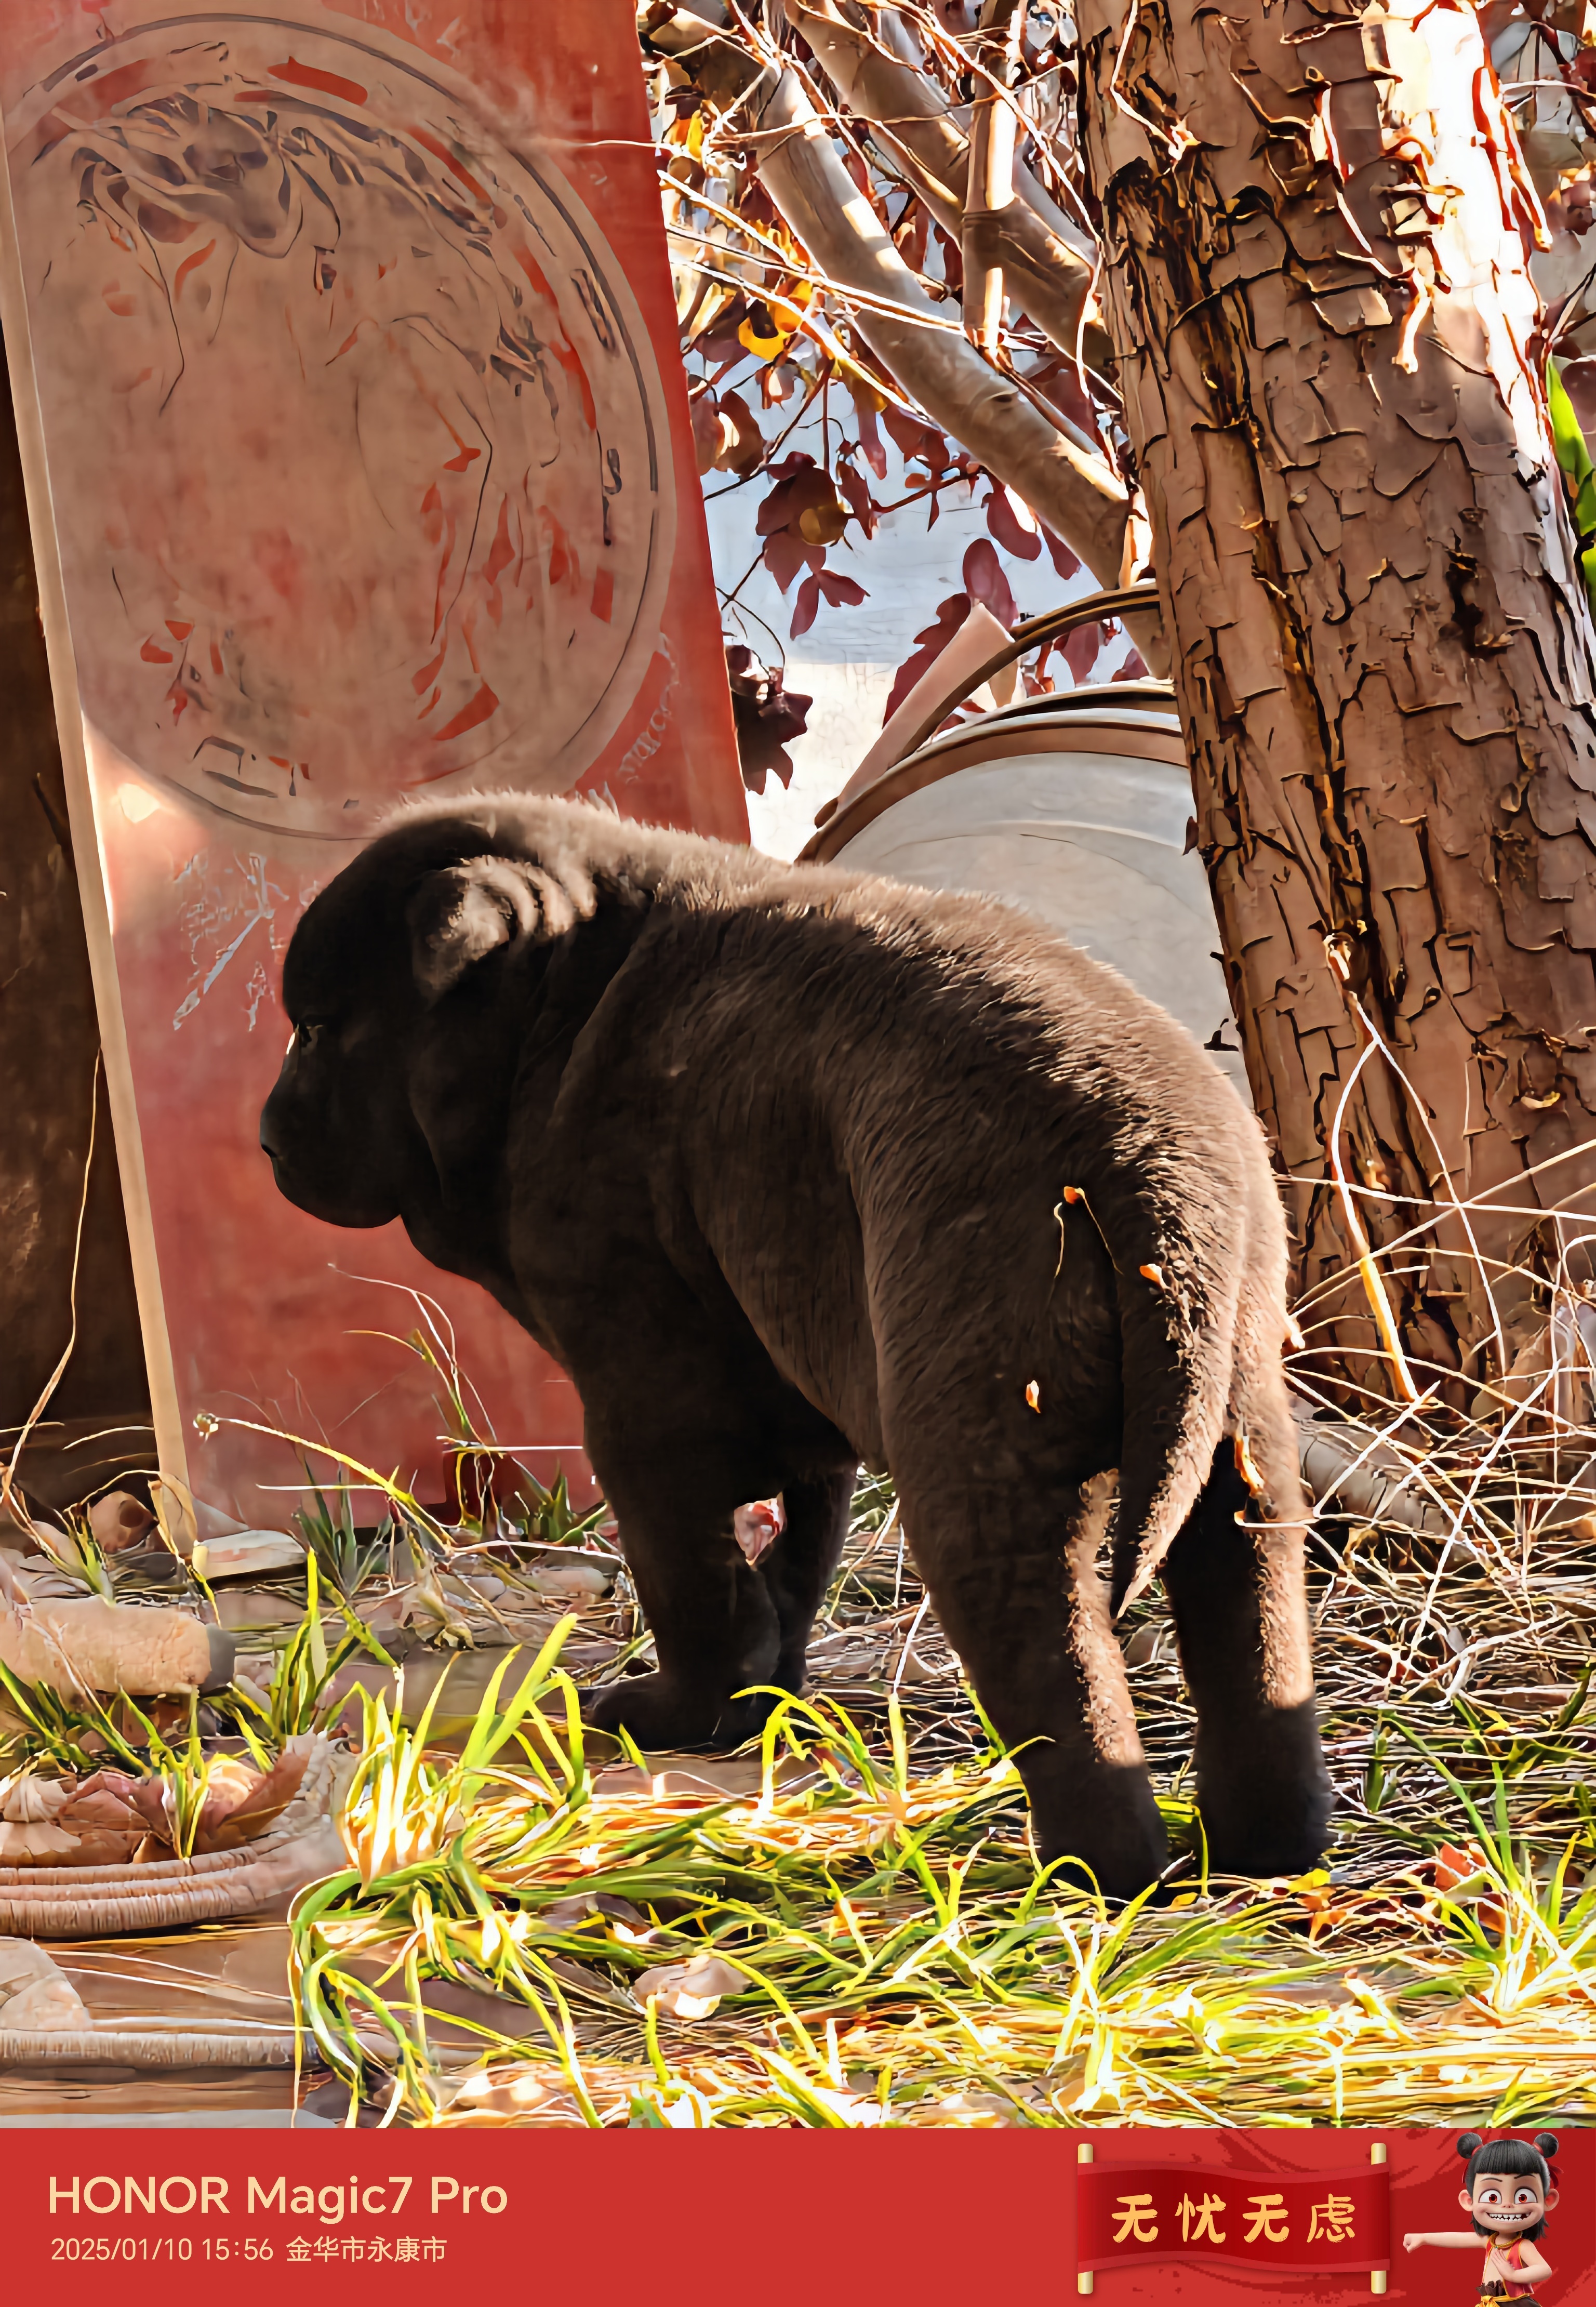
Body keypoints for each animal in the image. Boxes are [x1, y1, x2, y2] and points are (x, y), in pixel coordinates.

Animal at [265, 798, 1337, 1891]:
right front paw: (764, 1695)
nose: (266, 1136)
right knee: (1250, 1620)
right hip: (1237, 1431)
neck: (559, 1003)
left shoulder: (643, 1396)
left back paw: (1087, 1872)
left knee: (1055, 1654)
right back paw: (1260, 1854)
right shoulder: (796, 1389)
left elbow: (692, 1580)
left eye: (319, 1029)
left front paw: (684, 1712)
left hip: (984, 1448)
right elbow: (792, 1561)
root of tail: (1152, 1174)